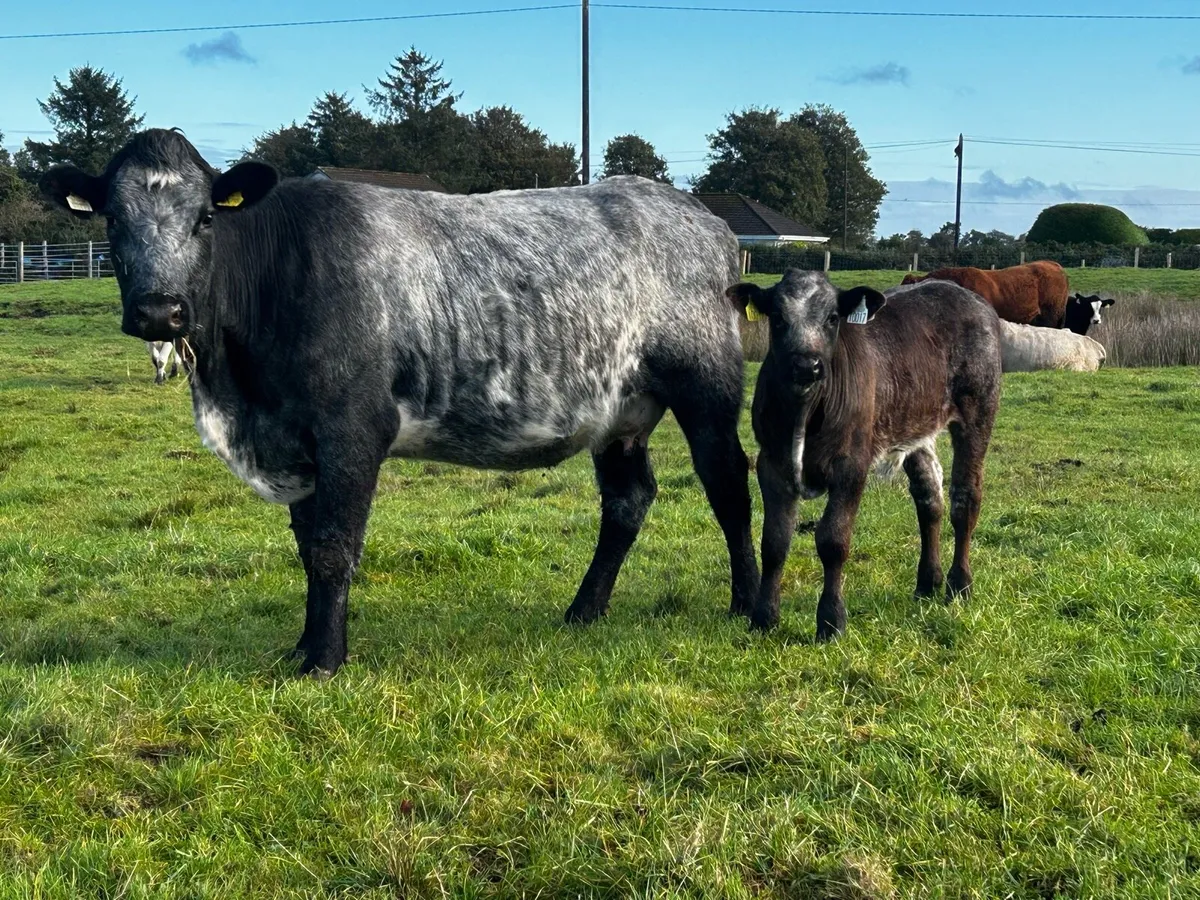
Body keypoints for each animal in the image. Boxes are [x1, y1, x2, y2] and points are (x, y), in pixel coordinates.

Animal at [40, 128, 760, 676]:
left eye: (207, 217)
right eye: (112, 218)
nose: (159, 311)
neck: (241, 393)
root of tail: (699, 216)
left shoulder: (352, 429)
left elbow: (334, 547)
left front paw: (324, 661)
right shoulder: (298, 443)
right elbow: (307, 547)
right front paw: (303, 646)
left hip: (707, 383)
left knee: (728, 482)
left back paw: (749, 607)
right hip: (619, 410)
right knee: (627, 500)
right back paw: (584, 609)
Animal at [726, 271, 1002, 640]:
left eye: (832, 318)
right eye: (778, 318)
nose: (806, 365)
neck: (806, 411)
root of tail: (962, 293)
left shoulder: (851, 466)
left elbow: (833, 540)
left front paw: (831, 622)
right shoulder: (772, 463)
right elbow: (774, 541)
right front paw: (763, 618)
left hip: (978, 409)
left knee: (965, 499)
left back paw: (959, 585)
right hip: (914, 425)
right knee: (930, 499)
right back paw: (928, 583)